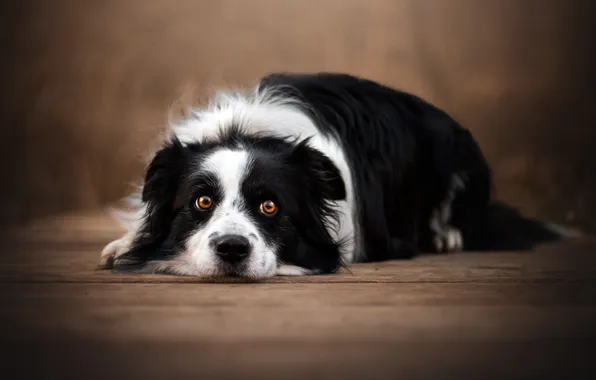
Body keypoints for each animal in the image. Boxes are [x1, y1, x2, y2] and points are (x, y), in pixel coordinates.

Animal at [100, 72, 572, 280]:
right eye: (202, 202)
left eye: (269, 206)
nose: (232, 250)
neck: (246, 130)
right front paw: (123, 243)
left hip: (457, 150)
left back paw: (446, 236)